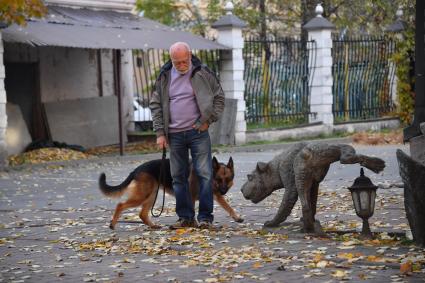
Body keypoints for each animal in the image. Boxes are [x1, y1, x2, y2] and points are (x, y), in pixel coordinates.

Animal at [97, 158, 242, 231]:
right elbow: (191, 212)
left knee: (142, 214)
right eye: (218, 179)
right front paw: (192, 224)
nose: (223, 191)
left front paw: (237, 217)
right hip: (143, 196)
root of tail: (136, 169)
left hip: (151, 196)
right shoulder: (191, 196)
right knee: (120, 205)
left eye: (228, 179)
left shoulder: (215, 195)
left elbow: (228, 207)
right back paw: (112, 224)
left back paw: (153, 226)